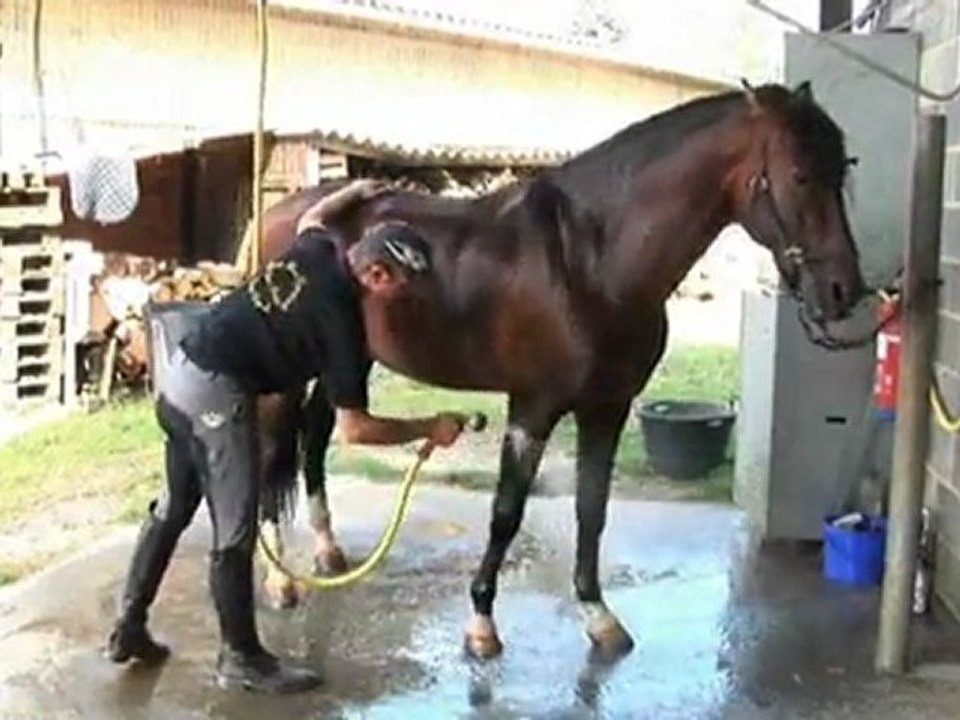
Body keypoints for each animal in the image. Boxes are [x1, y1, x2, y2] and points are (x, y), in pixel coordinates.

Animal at [249, 81, 865, 659]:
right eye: (799, 175)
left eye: (843, 168)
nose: (844, 291)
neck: (589, 262)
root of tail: (286, 217)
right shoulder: (534, 406)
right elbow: (506, 513)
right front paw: (482, 625)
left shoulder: (608, 408)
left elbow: (591, 511)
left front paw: (599, 616)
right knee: (272, 450)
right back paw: (281, 579)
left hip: (348, 361)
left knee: (315, 437)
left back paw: (327, 550)